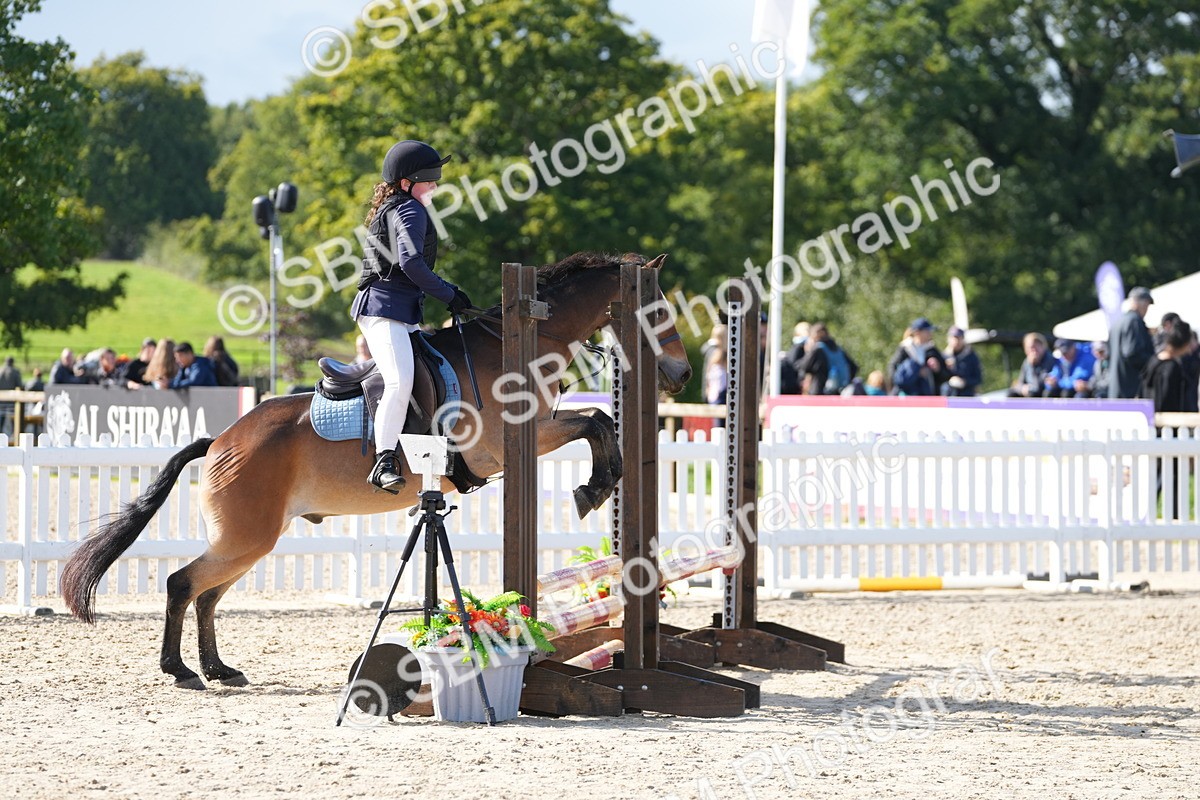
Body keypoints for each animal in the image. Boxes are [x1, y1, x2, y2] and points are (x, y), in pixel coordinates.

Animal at [60, 252, 692, 689]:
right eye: (658, 309)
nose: (682, 374)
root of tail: (220, 440)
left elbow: (597, 420)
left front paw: (597, 484)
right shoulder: (517, 442)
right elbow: (597, 421)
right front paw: (594, 487)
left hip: (250, 539)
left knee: (207, 595)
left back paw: (219, 669)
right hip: (246, 535)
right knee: (183, 584)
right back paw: (181, 671)